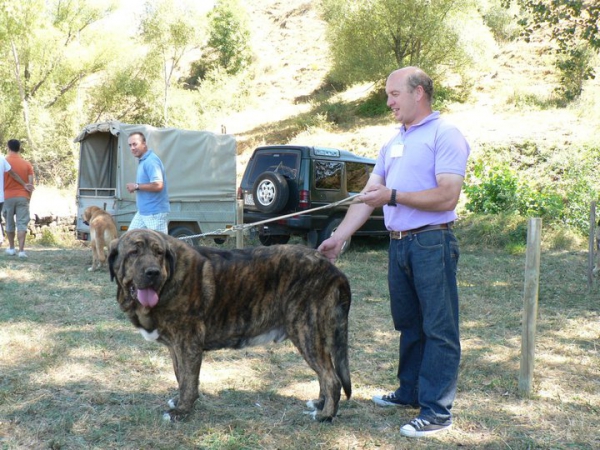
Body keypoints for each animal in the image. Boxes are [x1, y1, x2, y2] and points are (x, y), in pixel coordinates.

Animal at [108, 230, 352, 424]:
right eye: (133, 253)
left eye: (159, 253)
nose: (153, 272)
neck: (169, 280)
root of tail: (332, 268)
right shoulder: (176, 347)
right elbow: (180, 377)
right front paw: (179, 402)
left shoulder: (188, 345)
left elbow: (188, 381)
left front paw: (182, 411)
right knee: (324, 375)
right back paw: (320, 404)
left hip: (305, 332)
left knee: (331, 379)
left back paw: (326, 415)